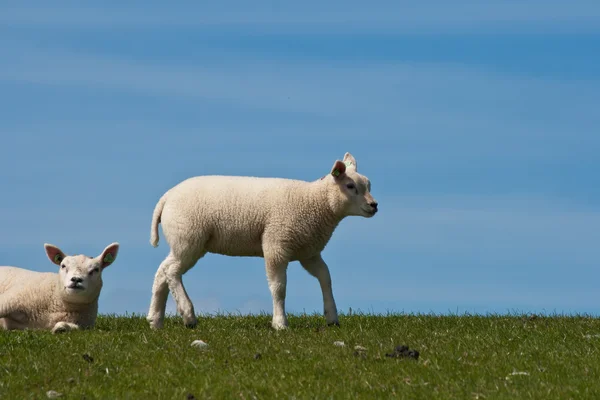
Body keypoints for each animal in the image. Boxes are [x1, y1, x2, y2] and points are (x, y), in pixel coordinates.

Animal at [147, 152, 378, 330]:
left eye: (368, 185)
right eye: (350, 186)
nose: (374, 205)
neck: (316, 202)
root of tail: (166, 197)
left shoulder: (308, 252)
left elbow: (326, 278)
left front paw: (332, 317)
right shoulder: (276, 244)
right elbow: (279, 287)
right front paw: (280, 323)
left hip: (184, 241)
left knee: (162, 271)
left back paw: (155, 320)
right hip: (189, 237)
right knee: (172, 272)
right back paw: (188, 315)